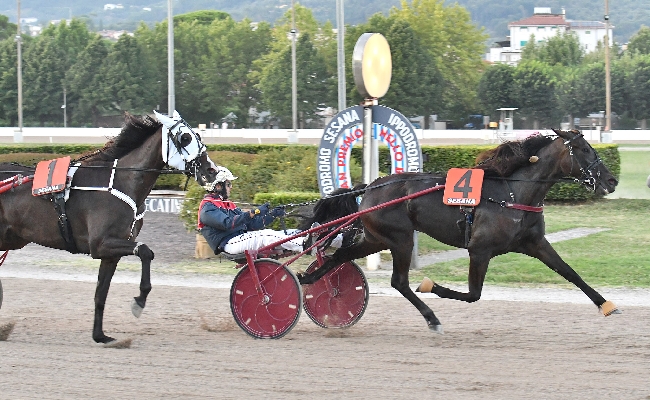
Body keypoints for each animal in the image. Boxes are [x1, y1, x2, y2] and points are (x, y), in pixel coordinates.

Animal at [0, 111, 218, 344]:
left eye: (197, 135)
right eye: (185, 138)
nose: (211, 171)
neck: (122, 181)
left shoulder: (111, 253)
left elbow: (101, 294)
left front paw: (100, 335)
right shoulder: (100, 244)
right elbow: (145, 250)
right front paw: (139, 301)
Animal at [298, 130, 616, 332]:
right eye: (585, 150)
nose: (612, 181)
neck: (512, 194)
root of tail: (370, 187)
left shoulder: (535, 243)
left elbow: (570, 273)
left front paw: (607, 305)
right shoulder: (480, 250)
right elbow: (473, 295)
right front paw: (430, 286)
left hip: (377, 238)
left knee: (339, 257)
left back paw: (308, 279)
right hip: (400, 239)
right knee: (399, 282)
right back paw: (432, 318)